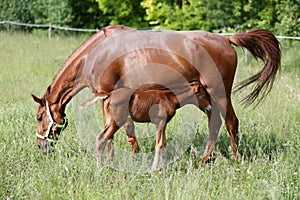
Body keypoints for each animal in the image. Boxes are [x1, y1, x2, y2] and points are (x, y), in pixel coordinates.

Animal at [31, 24, 280, 161]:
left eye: (40, 117)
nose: (41, 146)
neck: (96, 53)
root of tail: (226, 39)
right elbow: (124, 128)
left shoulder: (107, 95)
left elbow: (116, 130)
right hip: (207, 95)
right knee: (215, 122)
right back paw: (205, 159)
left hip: (219, 92)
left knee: (231, 122)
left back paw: (234, 160)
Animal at [80, 80, 211, 170]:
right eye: (202, 95)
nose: (209, 109)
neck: (170, 97)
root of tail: (109, 94)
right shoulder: (160, 122)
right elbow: (159, 144)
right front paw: (154, 169)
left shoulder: (163, 124)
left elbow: (164, 143)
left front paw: (164, 168)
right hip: (116, 122)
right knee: (102, 138)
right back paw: (100, 166)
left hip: (108, 120)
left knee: (100, 137)